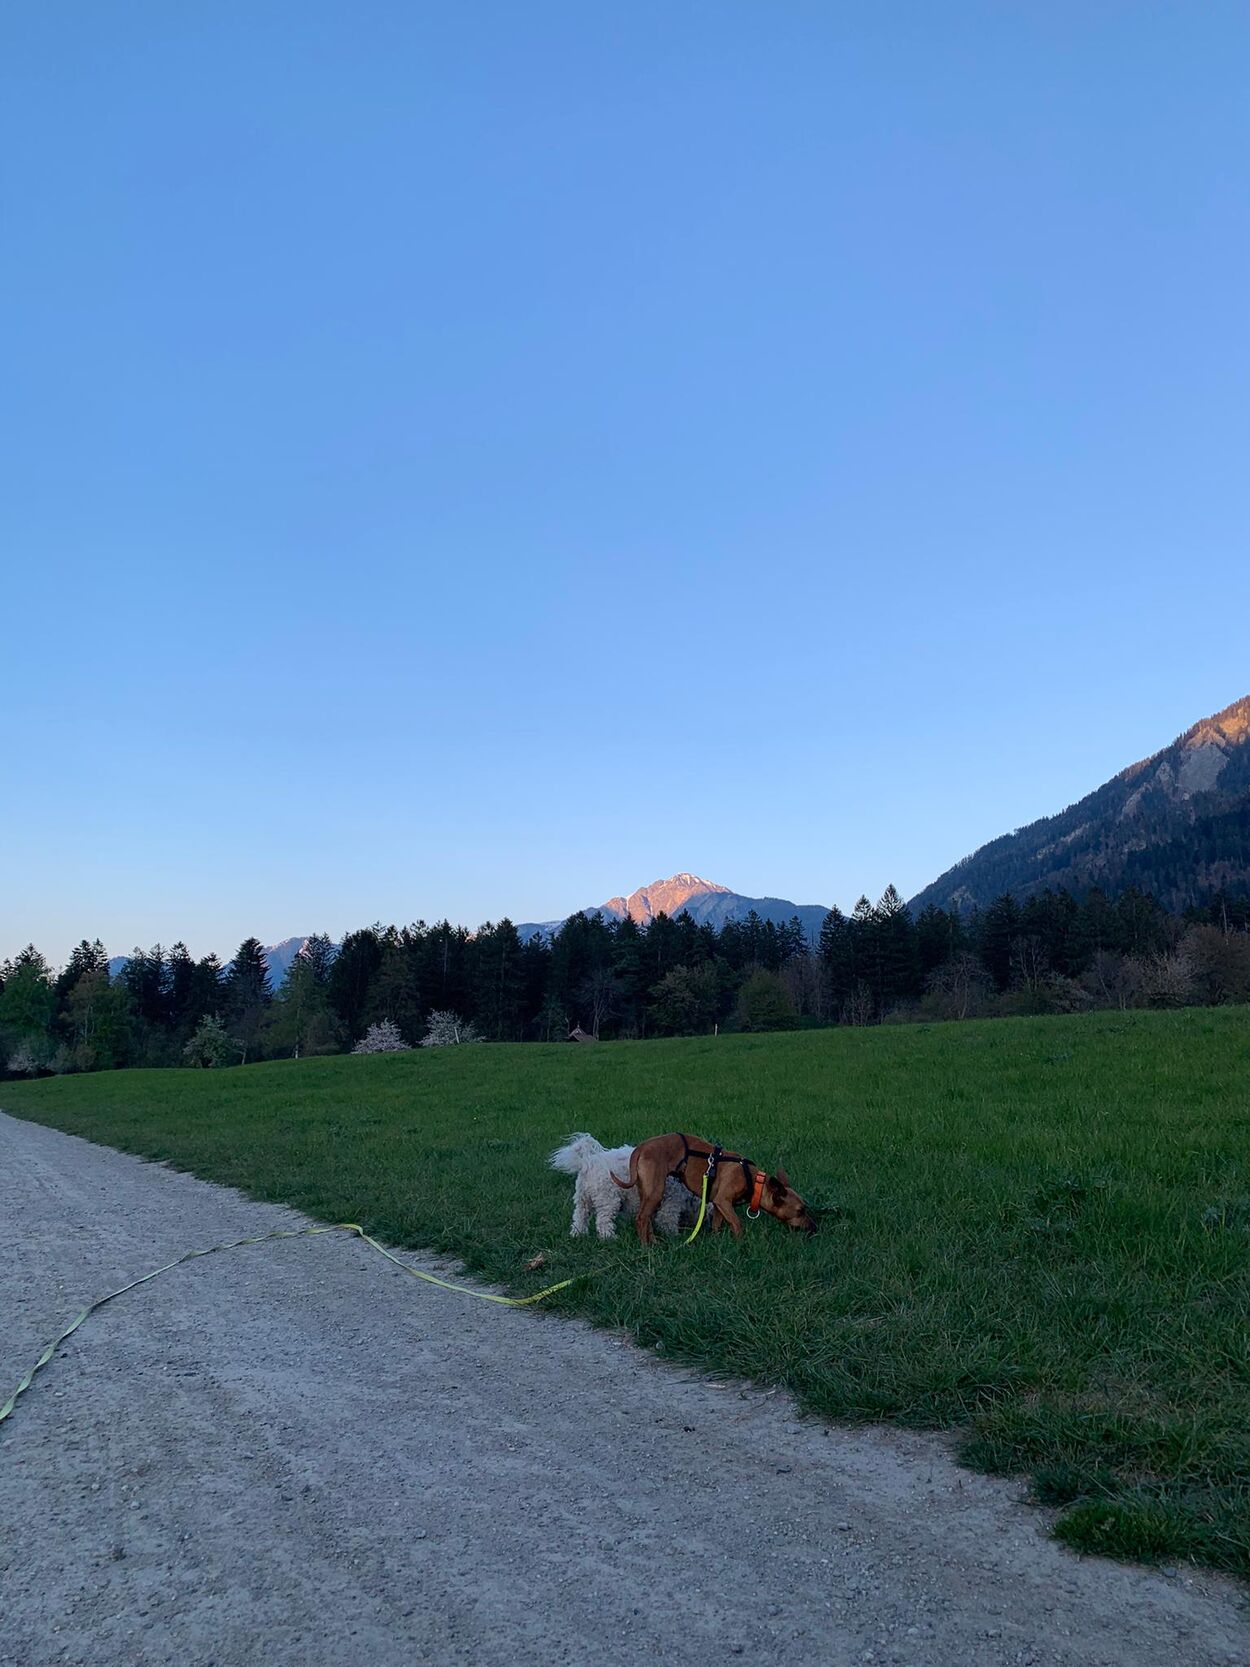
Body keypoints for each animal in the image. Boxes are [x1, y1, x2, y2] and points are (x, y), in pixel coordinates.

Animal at [549, 1133, 699, 1239]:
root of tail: (588, 1162)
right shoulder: (671, 1203)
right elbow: (667, 1220)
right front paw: (674, 1236)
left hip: (582, 1199)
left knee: (579, 1217)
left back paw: (577, 1235)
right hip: (608, 1199)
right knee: (603, 1221)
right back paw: (609, 1237)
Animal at [612, 1132, 818, 1245]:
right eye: (800, 1211)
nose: (815, 1228)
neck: (755, 1181)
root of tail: (641, 1147)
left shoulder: (719, 1205)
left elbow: (717, 1224)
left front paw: (717, 1240)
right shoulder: (724, 1201)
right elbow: (737, 1223)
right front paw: (740, 1243)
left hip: (647, 1191)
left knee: (646, 1219)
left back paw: (653, 1241)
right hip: (656, 1192)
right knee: (641, 1219)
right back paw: (647, 1247)